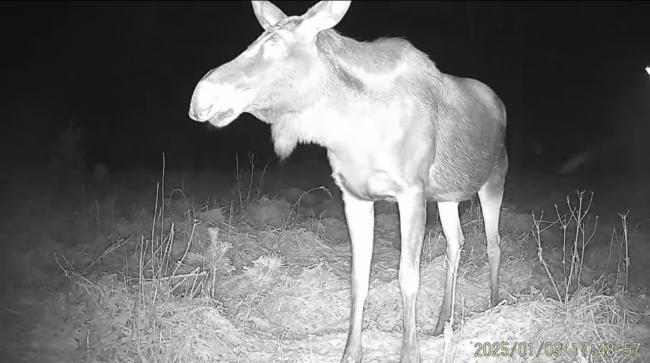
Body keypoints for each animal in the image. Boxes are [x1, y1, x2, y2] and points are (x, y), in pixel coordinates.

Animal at [187, 1, 506, 362]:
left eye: (276, 44)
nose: (200, 97)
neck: (349, 128)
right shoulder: (354, 194)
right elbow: (358, 277)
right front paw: (351, 352)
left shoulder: (411, 190)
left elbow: (408, 276)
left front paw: (410, 352)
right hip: (447, 195)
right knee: (457, 241)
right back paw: (442, 323)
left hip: (494, 177)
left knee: (493, 243)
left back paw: (494, 306)